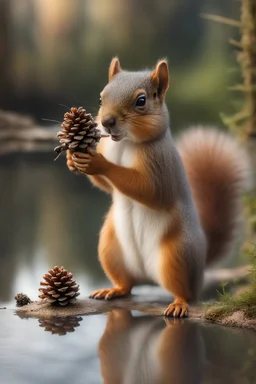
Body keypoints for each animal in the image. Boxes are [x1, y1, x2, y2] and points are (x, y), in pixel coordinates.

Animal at [67, 56, 250, 316]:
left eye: (141, 101)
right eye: (101, 98)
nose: (106, 122)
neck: (126, 143)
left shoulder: (160, 167)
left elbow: (150, 191)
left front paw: (97, 162)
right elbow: (107, 186)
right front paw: (72, 158)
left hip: (177, 255)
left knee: (185, 291)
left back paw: (179, 304)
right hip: (110, 248)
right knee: (127, 283)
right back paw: (113, 289)